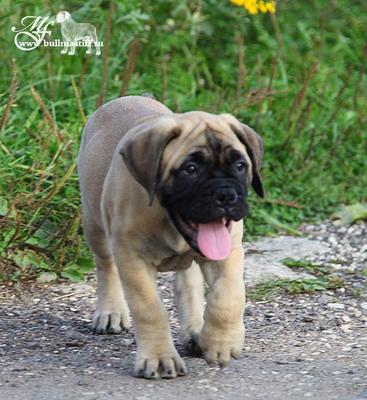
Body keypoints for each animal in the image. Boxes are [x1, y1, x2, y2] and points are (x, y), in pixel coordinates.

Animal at [78, 95, 264, 380]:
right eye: (190, 169)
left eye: (240, 165)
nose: (226, 195)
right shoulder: (132, 258)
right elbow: (150, 309)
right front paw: (158, 358)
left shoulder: (230, 250)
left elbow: (228, 296)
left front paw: (221, 342)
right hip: (94, 224)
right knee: (106, 266)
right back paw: (111, 312)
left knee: (189, 284)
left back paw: (195, 331)